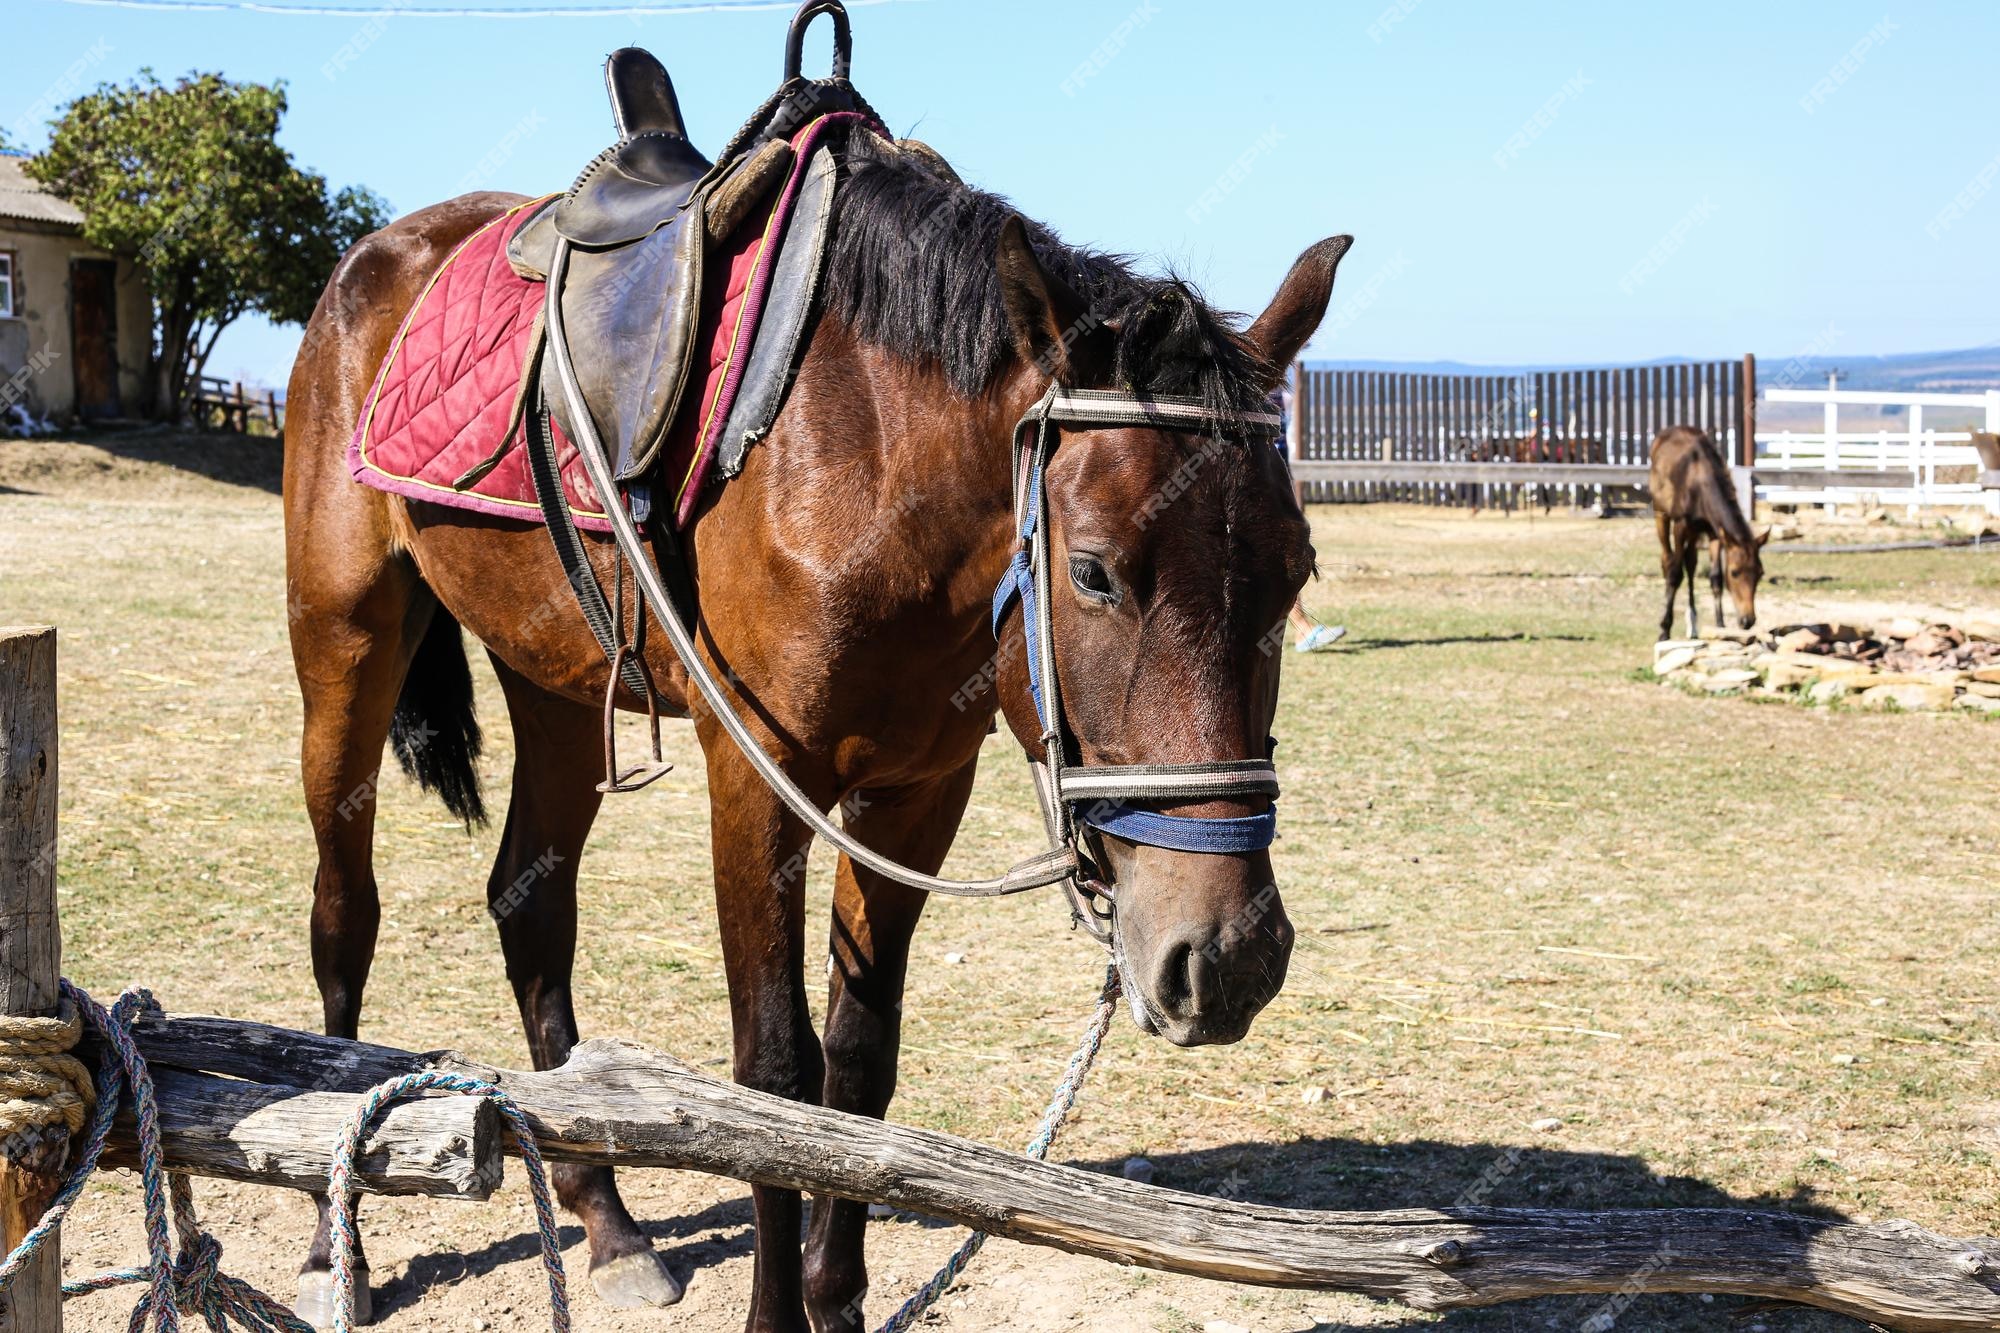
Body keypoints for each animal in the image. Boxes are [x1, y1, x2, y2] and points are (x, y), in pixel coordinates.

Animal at [286, 119, 1344, 1320]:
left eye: (1296, 572)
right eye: (1092, 572)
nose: (1231, 955)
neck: (869, 463)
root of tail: (381, 255)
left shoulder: (914, 792)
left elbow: (857, 1061)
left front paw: (835, 1300)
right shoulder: (757, 781)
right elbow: (775, 1074)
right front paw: (776, 1310)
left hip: (551, 682)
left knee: (532, 909)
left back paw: (607, 1224)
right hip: (345, 645)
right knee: (344, 912)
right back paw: (334, 1240)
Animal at [1656, 422, 1768, 636]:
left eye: (1760, 573)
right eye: (1734, 572)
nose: (1747, 620)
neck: (1699, 482)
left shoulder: (1714, 532)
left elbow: (1715, 578)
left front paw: (1720, 624)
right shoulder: (1681, 525)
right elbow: (1675, 573)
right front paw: (1664, 628)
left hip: (1694, 531)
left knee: (1690, 563)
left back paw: (1692, 623)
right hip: (1661, 514)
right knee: (1667, 559)